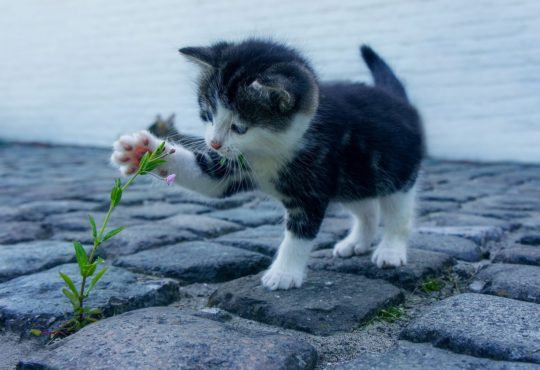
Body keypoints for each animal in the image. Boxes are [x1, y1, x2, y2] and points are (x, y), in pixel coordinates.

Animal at [112, 39, 424, 290]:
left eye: (239, 127)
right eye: (208, 114)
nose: (213, 143)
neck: (270, 150)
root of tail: (397, 99)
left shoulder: (313, 184)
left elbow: (299, 233)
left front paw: (284, 274)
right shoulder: (232, 167)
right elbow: (207, 178)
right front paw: (142, 151)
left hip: (395, 172)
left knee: (397, 213)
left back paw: (390, 250)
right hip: (353, 179)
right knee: (367, 208)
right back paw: (356, 242)